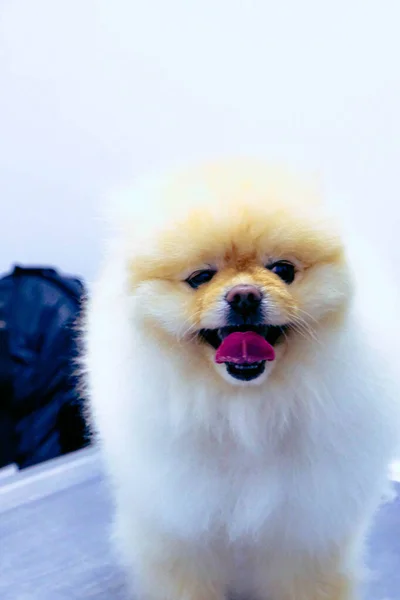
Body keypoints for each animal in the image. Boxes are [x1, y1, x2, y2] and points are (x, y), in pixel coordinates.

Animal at [84, 159, 400, 600]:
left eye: (283, 270)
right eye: (200, 277)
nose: (245, 295)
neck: (245, 413)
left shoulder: (306, 536)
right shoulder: (181, 534)